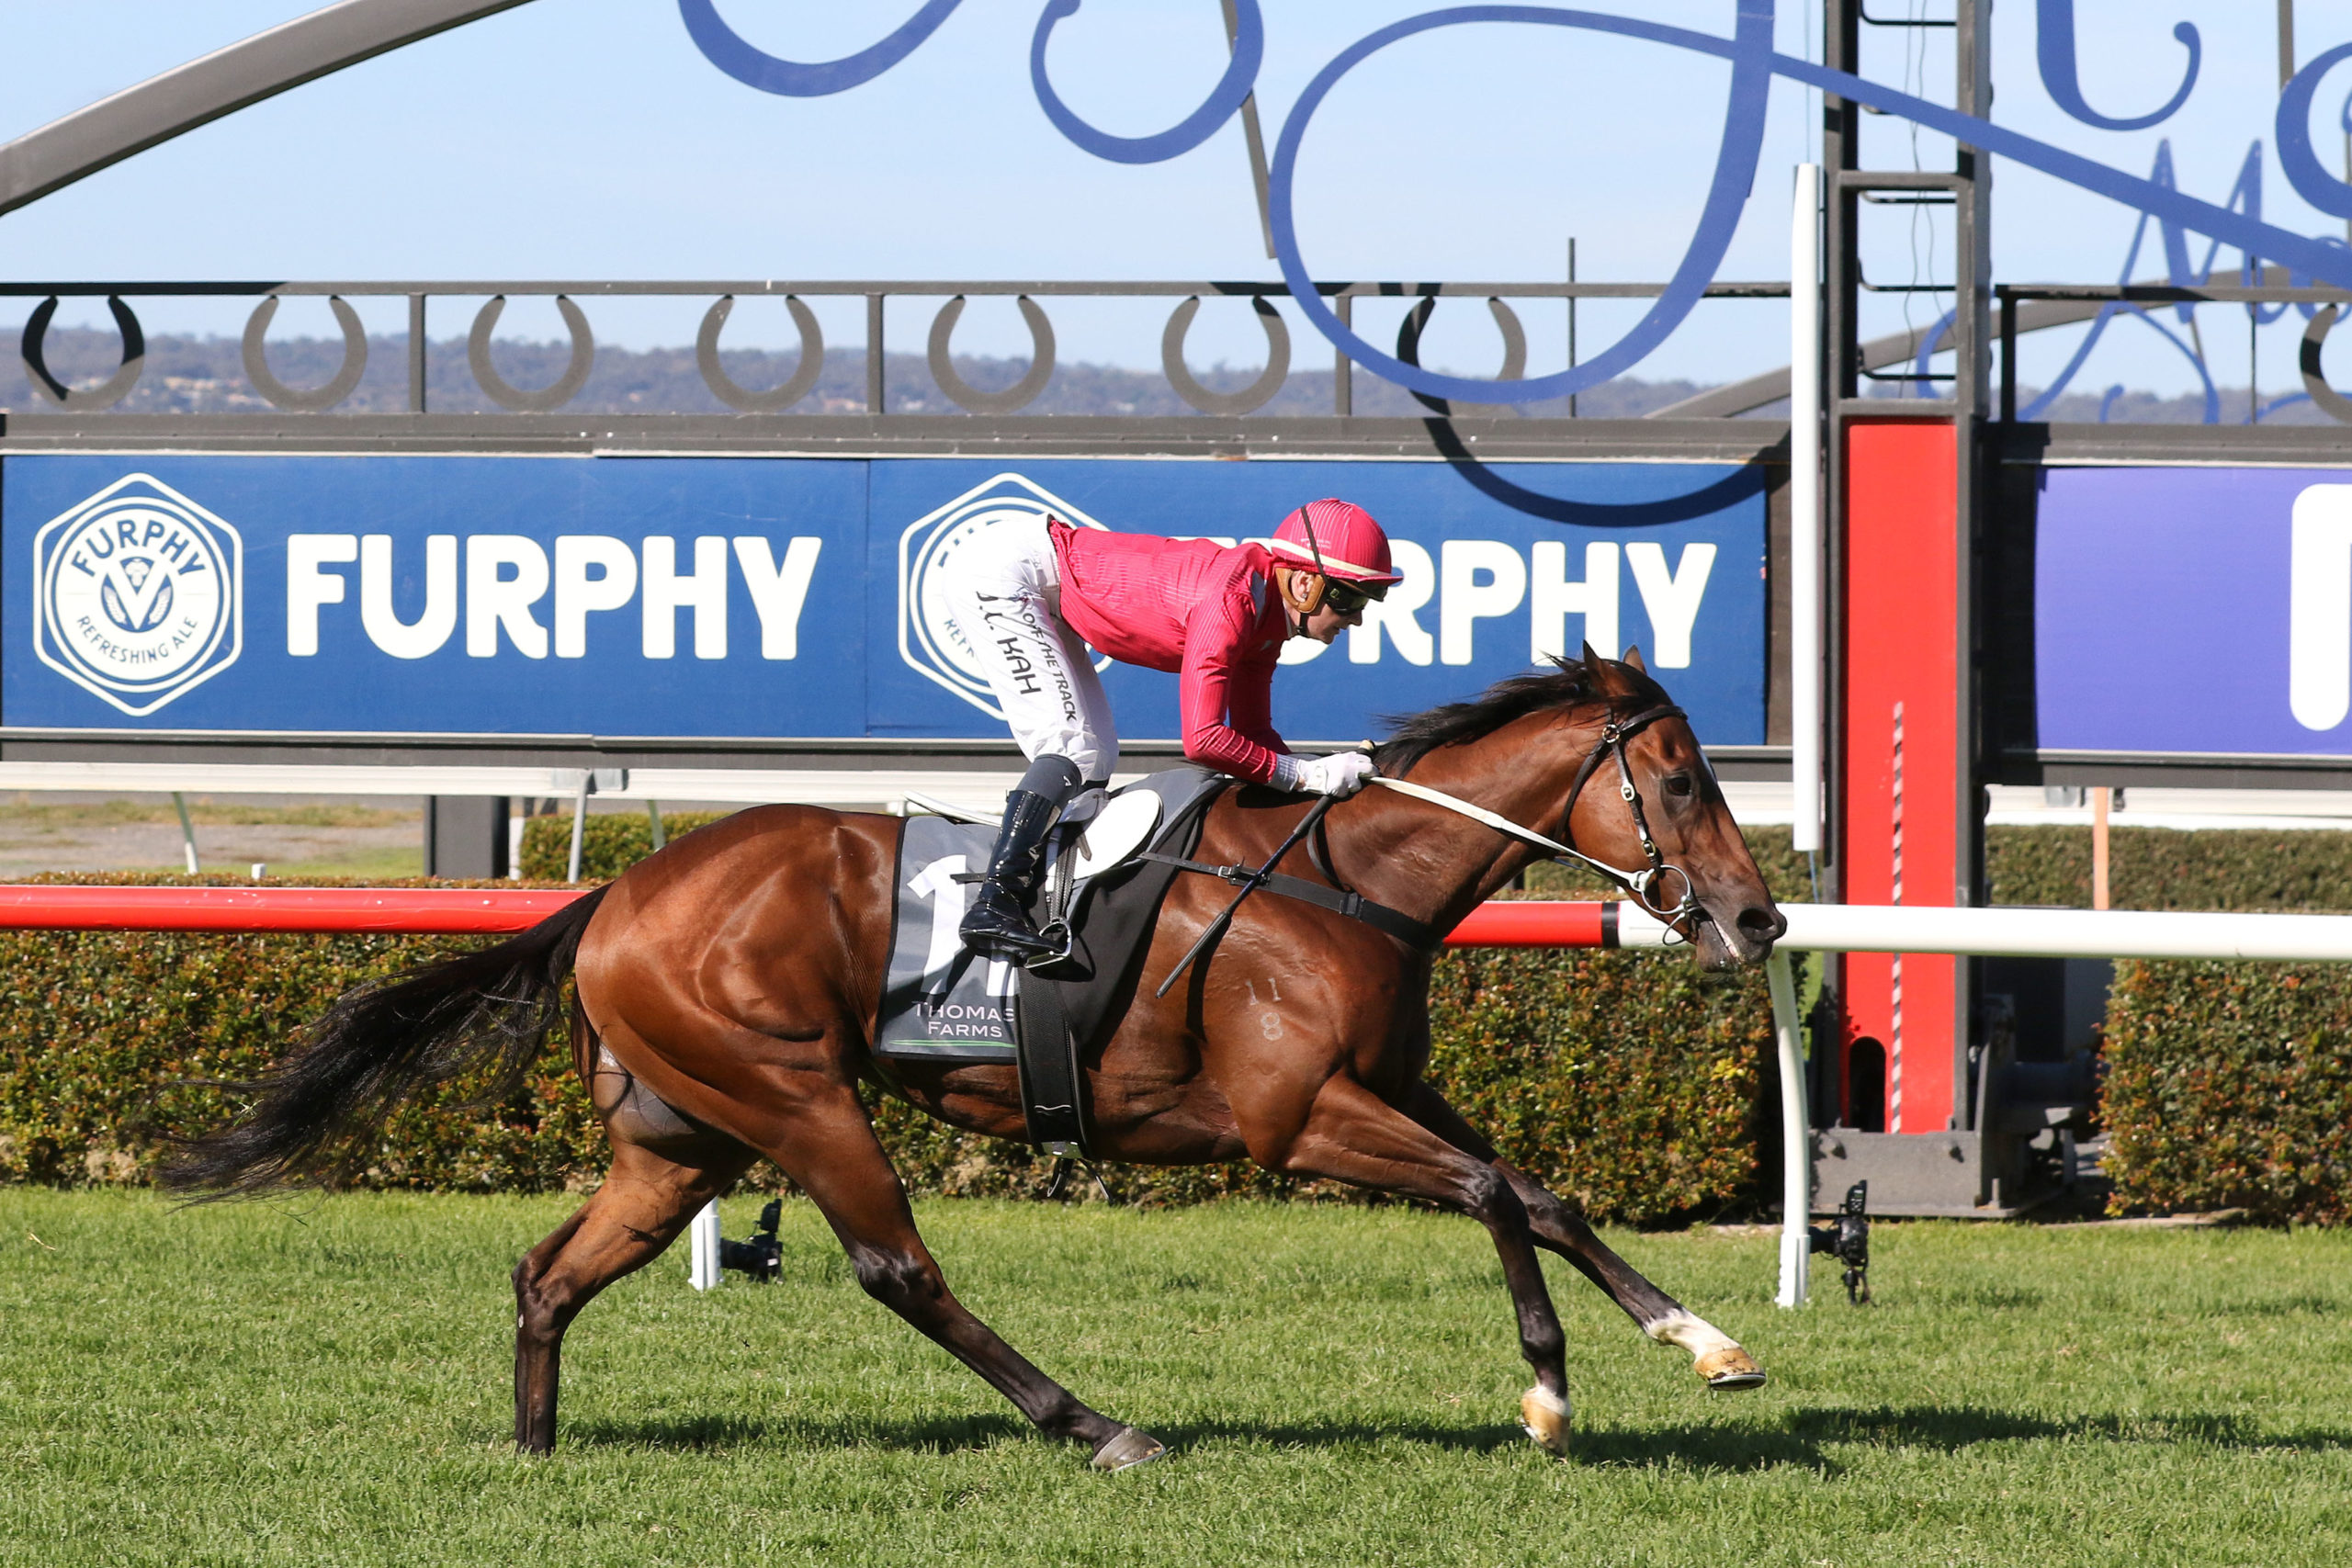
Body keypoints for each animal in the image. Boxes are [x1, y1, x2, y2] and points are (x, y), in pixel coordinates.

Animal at [166, 649, 1786, 1471]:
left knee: (551, 1270)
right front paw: (1550, 1392)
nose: (1762, 914)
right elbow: (1491, 1193)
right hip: (793, 1088)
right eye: (1681, 778)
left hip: (683, 1128)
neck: (1349, 880)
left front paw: (1702, 1338)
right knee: (899, 1268)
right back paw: (1097, 1423)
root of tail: (614, 898)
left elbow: (1539, 1187)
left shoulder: (1387, 1083)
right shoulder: (1295, 1116)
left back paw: (536, 1446)